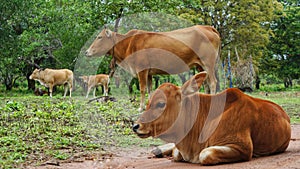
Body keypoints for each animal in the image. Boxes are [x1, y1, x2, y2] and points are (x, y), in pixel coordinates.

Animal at [84, 25, 220, 111]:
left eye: (99, 37)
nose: (86, 52)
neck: (128, 44)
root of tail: (207, 27)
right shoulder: (149, 73)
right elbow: (150, 90)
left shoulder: (142, 70)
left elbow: (143, 89)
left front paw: (140, 107)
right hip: (200, 66)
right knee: (206, 83)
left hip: (208, 63)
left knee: (213, 82)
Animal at [132, 71, 292, 165]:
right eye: (148, 103)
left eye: (161, 104)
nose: (136, 126)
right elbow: (176, 152)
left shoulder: (242, 147)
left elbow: (205, 154)